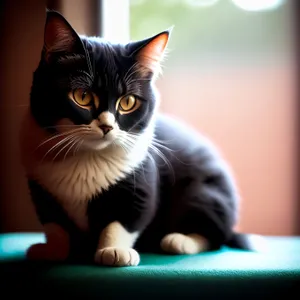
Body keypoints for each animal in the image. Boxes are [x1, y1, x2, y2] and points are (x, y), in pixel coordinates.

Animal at [18, 9, 258, 268]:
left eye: (128, 102)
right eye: (82, 96)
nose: (106, 126)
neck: (87, 156)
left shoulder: (140, 178)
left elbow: (126, 219)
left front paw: (114, 250)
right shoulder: (41, 188)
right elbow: (55, 224)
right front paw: (53, 249)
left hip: (206, 193)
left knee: (215, 234)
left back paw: (180, 240)